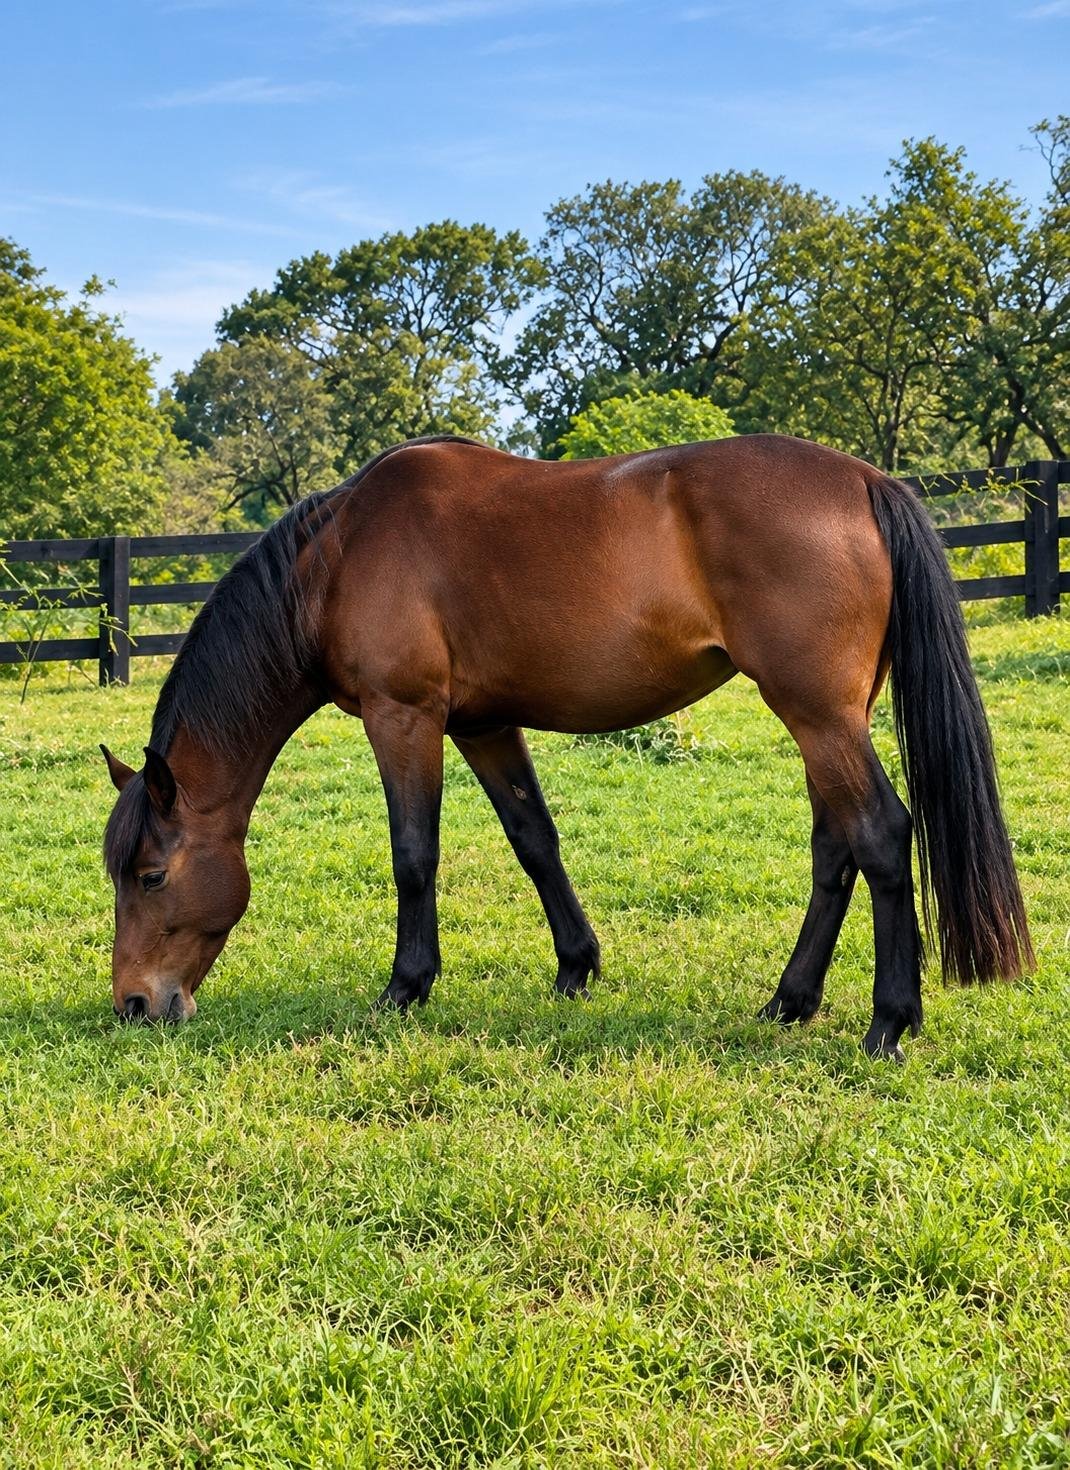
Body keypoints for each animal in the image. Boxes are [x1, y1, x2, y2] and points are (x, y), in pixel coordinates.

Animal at [101, 433, 1033, 1060]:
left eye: (149, 875)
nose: (134, 1004)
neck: (335, 559)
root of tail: (867, 480)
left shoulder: (404, 718)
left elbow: (414, 854)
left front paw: (406, 986)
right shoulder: (482, 724)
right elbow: (534, 841)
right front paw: (575, 967)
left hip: (818, 715)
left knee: (879, 835)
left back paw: (888, 1020)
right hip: (829, 719)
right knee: (834, 847)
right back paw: (790, 1001)